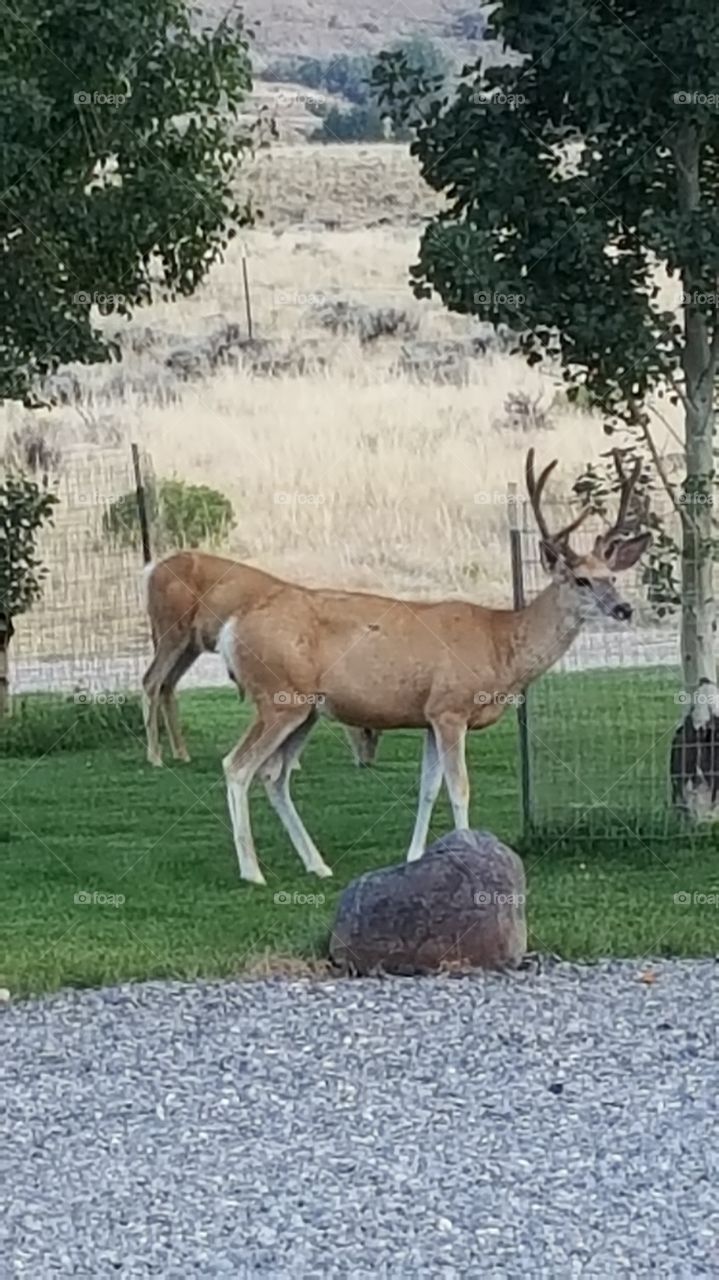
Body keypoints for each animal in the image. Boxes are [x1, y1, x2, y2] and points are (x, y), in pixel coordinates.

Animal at [140, 551, 381, 770]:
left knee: (167, 684)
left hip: (191, 644)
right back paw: (155, 757)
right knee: (150, 680)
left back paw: (181, 754)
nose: (366, 761)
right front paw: (290, 762)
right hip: (171, 628)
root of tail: (151, 572)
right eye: (366, 727)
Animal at [217, 450, 652, 884]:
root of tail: (230, 628)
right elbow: (460, 789)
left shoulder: (428, 715)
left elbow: (428, 788)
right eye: (580, 580)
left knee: (274, 775)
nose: (624, 608)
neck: (499, 646)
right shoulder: (450, 708)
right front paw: (469, 853)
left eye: (612, 577)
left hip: (306, 709)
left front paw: (414, 855)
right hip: (279, 696)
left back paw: (317, 864)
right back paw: (252, 872)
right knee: (237, 766)